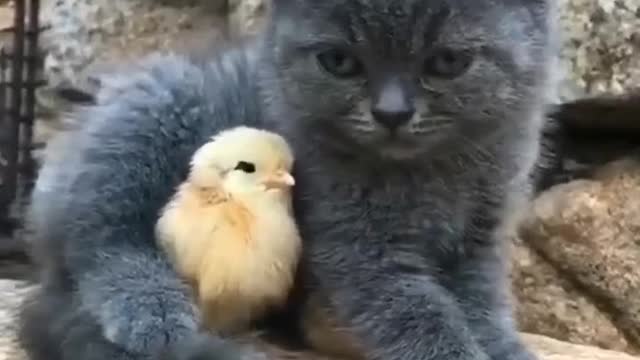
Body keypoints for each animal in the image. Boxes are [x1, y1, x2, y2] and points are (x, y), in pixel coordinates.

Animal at [17, 0, 556, 360]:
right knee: (101, 236)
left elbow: (482, 307)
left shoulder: (482, 240)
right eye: (339, 62)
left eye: (447, 62)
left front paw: (504, 347)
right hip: (151, 117)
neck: (437, 171)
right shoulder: (359, 249)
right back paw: (152, 310)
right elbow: (418, 313)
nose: (391, 113)